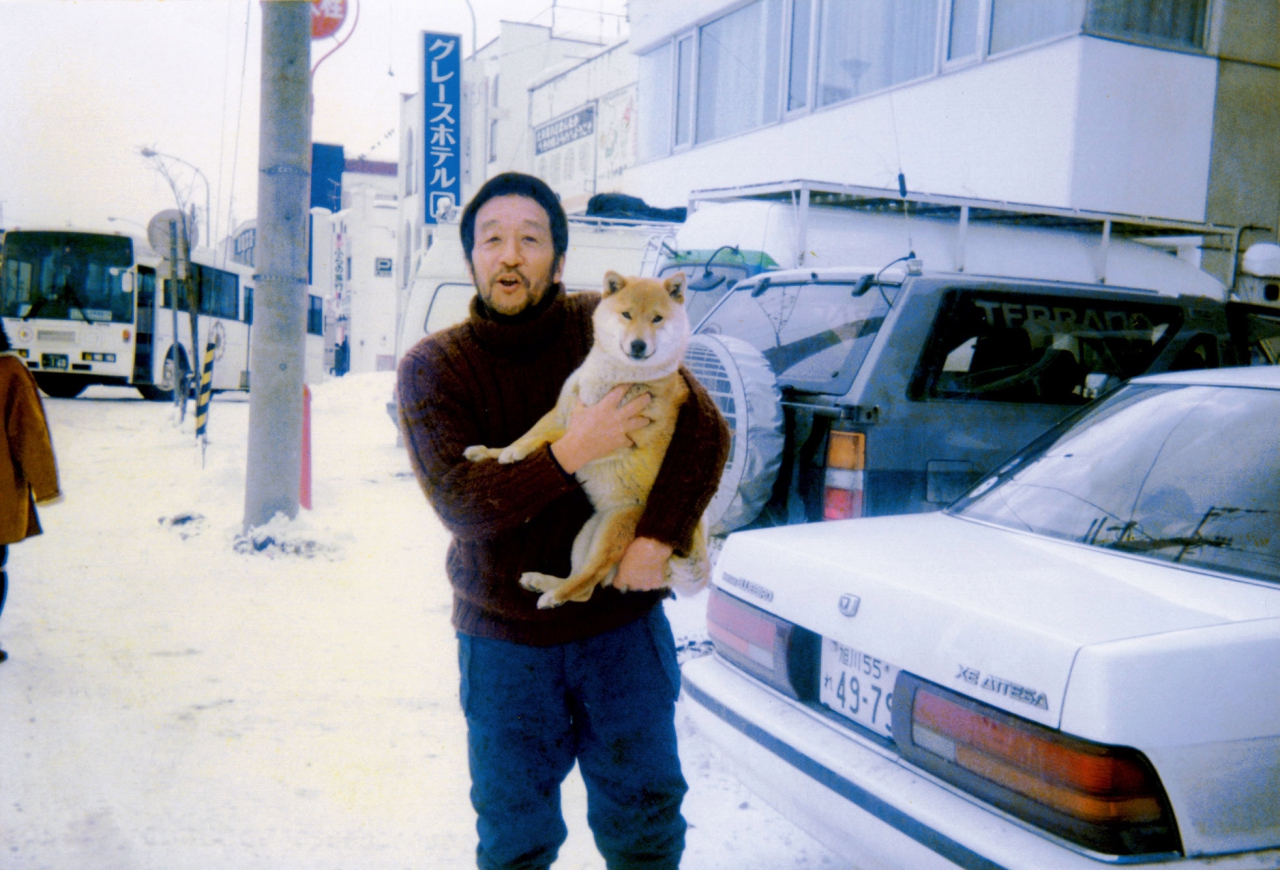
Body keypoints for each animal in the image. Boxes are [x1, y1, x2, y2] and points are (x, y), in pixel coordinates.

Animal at [465, 268, 716, 609]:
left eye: (657, 319)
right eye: (626, 314)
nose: (638, 345)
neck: (614, 377)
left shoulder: (606, 432)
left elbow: (552, 438)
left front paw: (514, 453)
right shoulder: (563, 409)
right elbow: (533, 433)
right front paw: (492, 451)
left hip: (614, 529)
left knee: (588, 580)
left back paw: (553, 595)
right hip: (588, 532)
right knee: (583, 585)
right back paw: (544, 583)